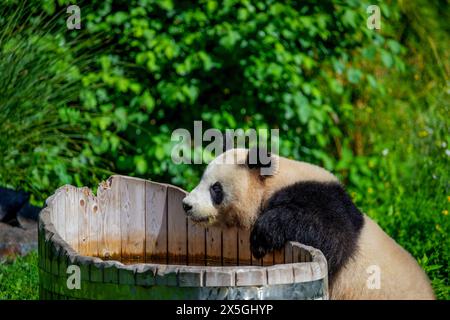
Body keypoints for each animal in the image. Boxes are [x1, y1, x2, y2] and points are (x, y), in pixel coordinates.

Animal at [182, 148, 436, 300]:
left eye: (215, 188)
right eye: (202, 180)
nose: (187, 205)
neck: (275, 181)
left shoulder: (322, 198)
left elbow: (328, 234)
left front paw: (261, 238)